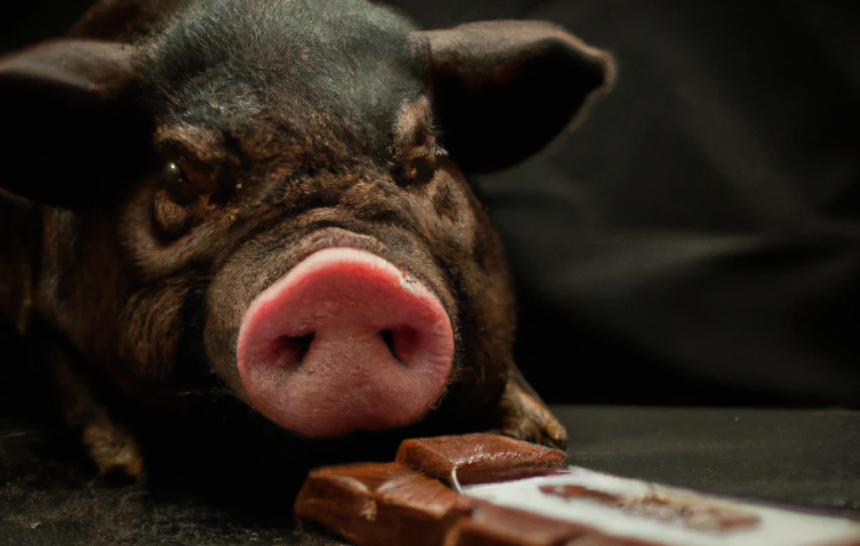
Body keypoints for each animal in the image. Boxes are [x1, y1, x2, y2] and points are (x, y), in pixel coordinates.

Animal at [0, 0, 613, 478]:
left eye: (426, 153)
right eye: (177, 173)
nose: (345, 279)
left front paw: (545, 435)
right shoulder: (36, 311)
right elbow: (63, 369)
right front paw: (123, 465)